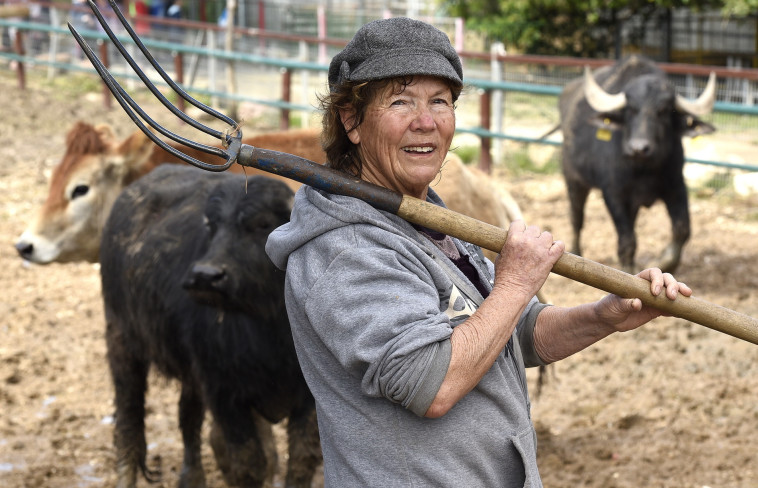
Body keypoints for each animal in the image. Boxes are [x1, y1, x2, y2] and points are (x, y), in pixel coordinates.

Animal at [99, 166, 320, 486]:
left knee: (187, 417)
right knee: (129, 421)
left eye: (262, 224)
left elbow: (301, 462)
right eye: (212, 227)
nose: (205, 276)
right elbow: (248, 464)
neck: (271, 330)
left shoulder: (308, 399)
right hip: (121, 341)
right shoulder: (225, 395)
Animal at [560, 56, 716, 274]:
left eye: (663, 111)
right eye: (630, 110)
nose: (639, 148)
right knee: (577, 218)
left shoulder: (676, 186)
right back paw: (575, 250)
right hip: (574, 181)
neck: (643, 170)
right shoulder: (614, 194)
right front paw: (629, 271)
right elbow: (627, 242)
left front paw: (662, 263)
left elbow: (682, 229)